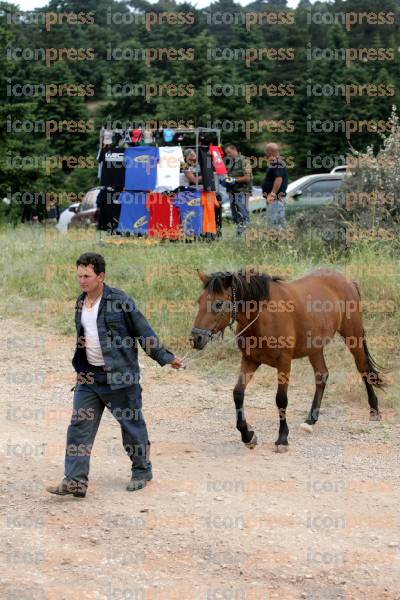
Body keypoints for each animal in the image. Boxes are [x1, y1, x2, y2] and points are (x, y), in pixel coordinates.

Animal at [191, 270, 384, 452]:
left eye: (218, 304)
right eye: (199, 301)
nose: (196, 338)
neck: (264, 315)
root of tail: (347, 280)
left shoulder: (284, 362)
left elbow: (281, 399)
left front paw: (282, 439)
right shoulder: (249, 360)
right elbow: (238, 393)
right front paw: (248, 436)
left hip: (353, 336)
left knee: (363, 368)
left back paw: (374, 409)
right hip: (315, 348)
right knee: (322, 375)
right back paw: (311, 419)